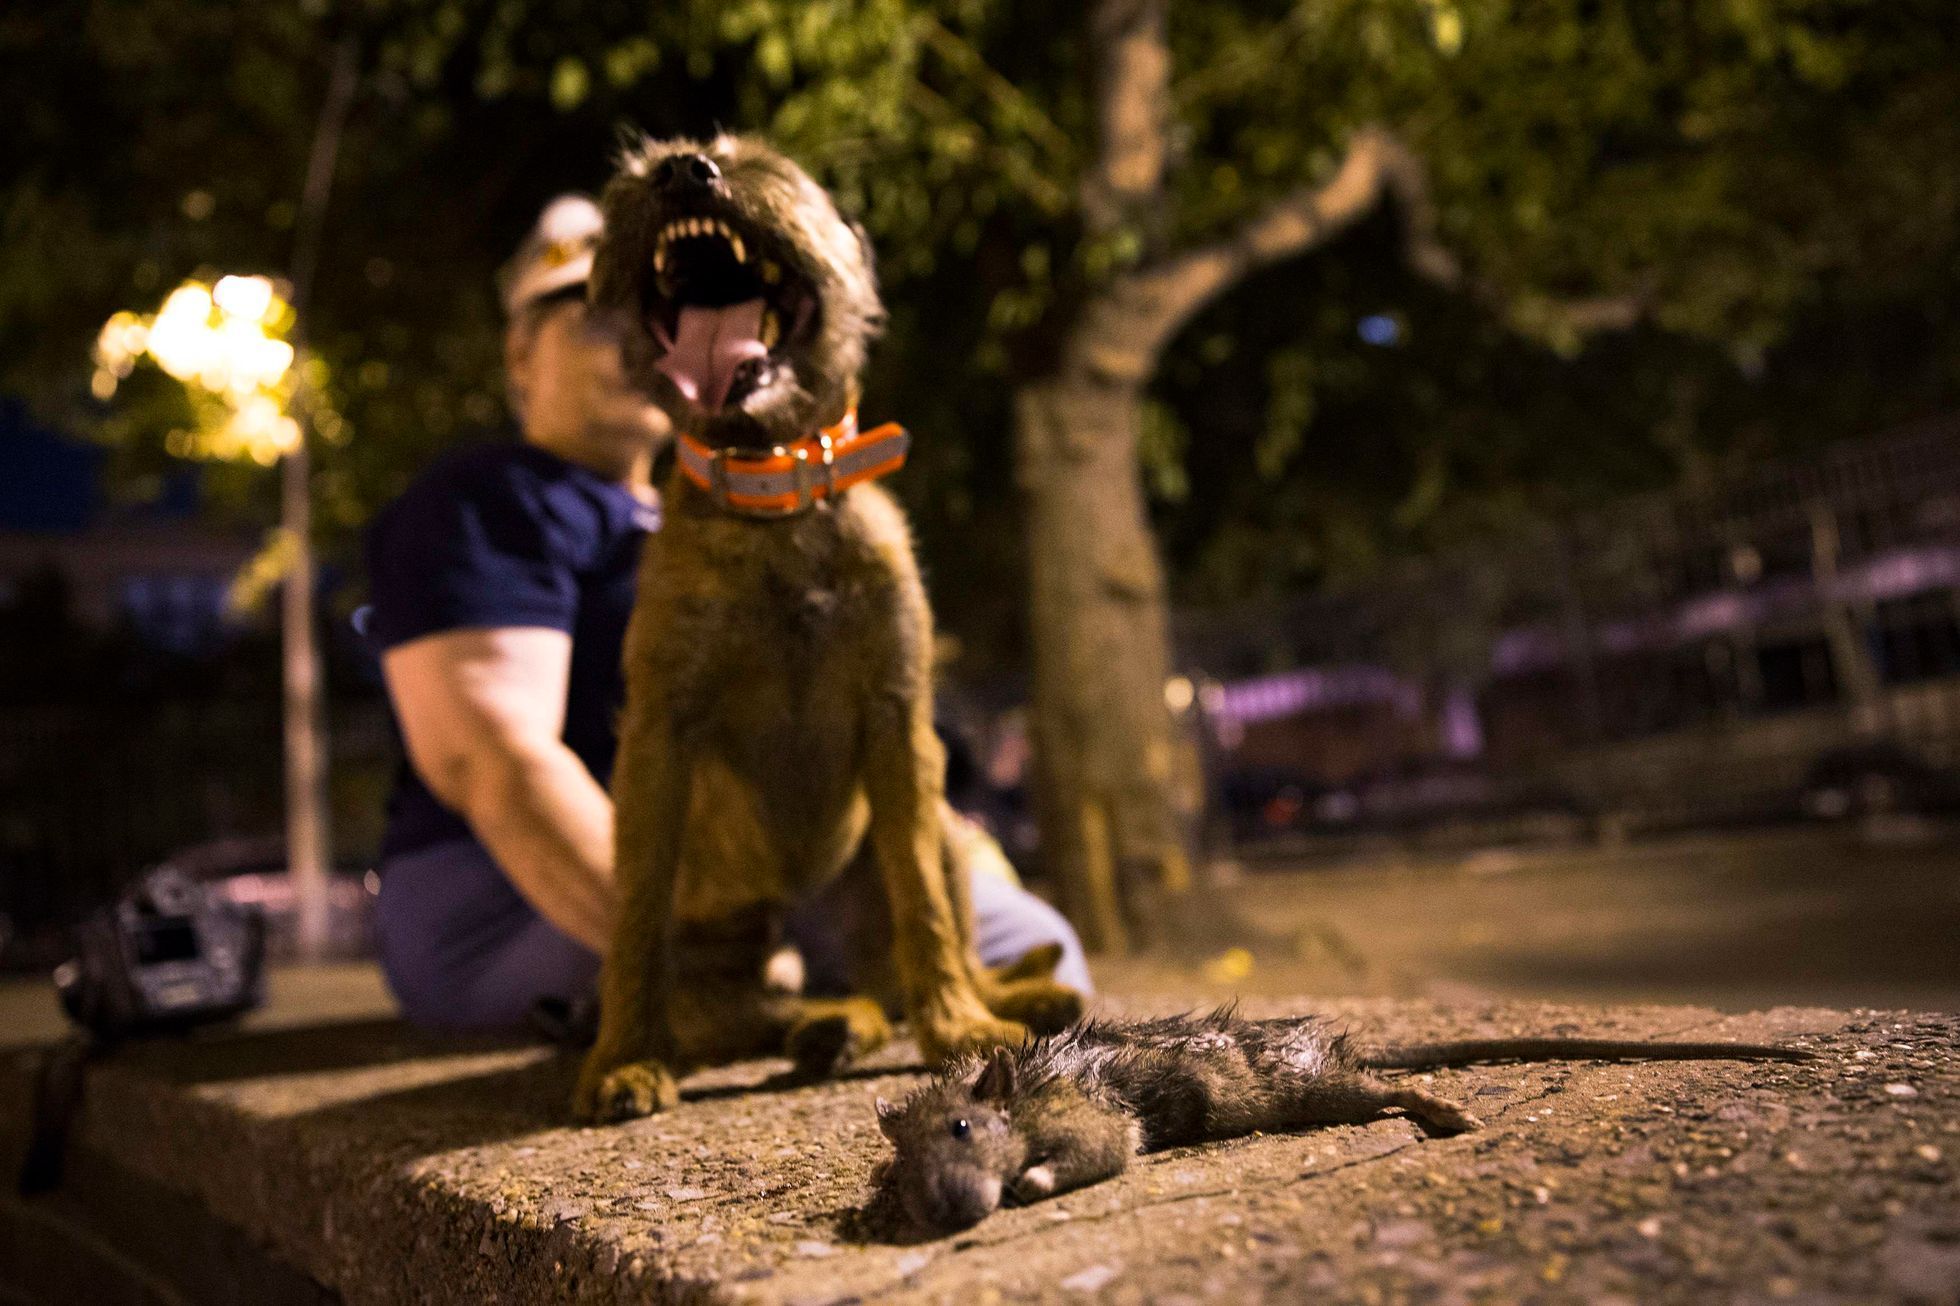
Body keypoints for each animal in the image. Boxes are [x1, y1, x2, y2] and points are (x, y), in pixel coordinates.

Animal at [568, 134, 1089, 1121]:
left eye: (762, 163)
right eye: (647, 162)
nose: (683, 170)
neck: (779, 491)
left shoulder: (898, 719)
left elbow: (922, 901)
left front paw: (961, 1027)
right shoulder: (659, 734)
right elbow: (635, 919)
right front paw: (623, 1057)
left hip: (948, 828)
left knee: (929, 953)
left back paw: (1001, 1000)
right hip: (729, 934)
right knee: (761, 1008)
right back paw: (827, 1024)